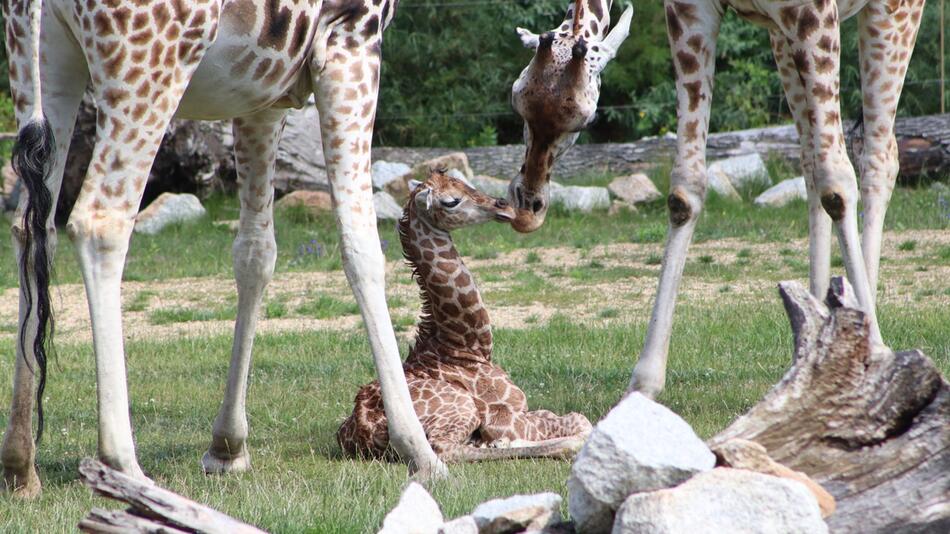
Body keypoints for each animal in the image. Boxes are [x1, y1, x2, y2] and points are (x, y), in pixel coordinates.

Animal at [2, 0, 446, 498]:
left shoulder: (264, 91)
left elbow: (255, 252)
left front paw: (227, 447)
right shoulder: (352, 39)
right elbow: (361, 244)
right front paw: (420, 451)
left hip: (42, 58)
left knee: (33, 227)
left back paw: (20, 465)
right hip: (151, 61)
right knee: (100, 221)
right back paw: (125, 467)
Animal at [338, 173, 592, 464]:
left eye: (463, 182)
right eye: (451, 201)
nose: (504, 205)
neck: (465, 346)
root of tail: (364, 431)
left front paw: (497, 443)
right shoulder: (504, 417)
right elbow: (580, 420)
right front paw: (505, 441)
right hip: (461, 408)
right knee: (444, 449)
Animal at [512, 1, 924, 398]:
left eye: (585, 119)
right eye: (516, 97)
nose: (527, 207)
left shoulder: (815, 13)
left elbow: (837, 183)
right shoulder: (692, 13)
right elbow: (685, 190)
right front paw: (643, 386)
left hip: (892, 13)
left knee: (877, 156)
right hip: (781, 37)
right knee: (810, 160)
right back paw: (812, 339)